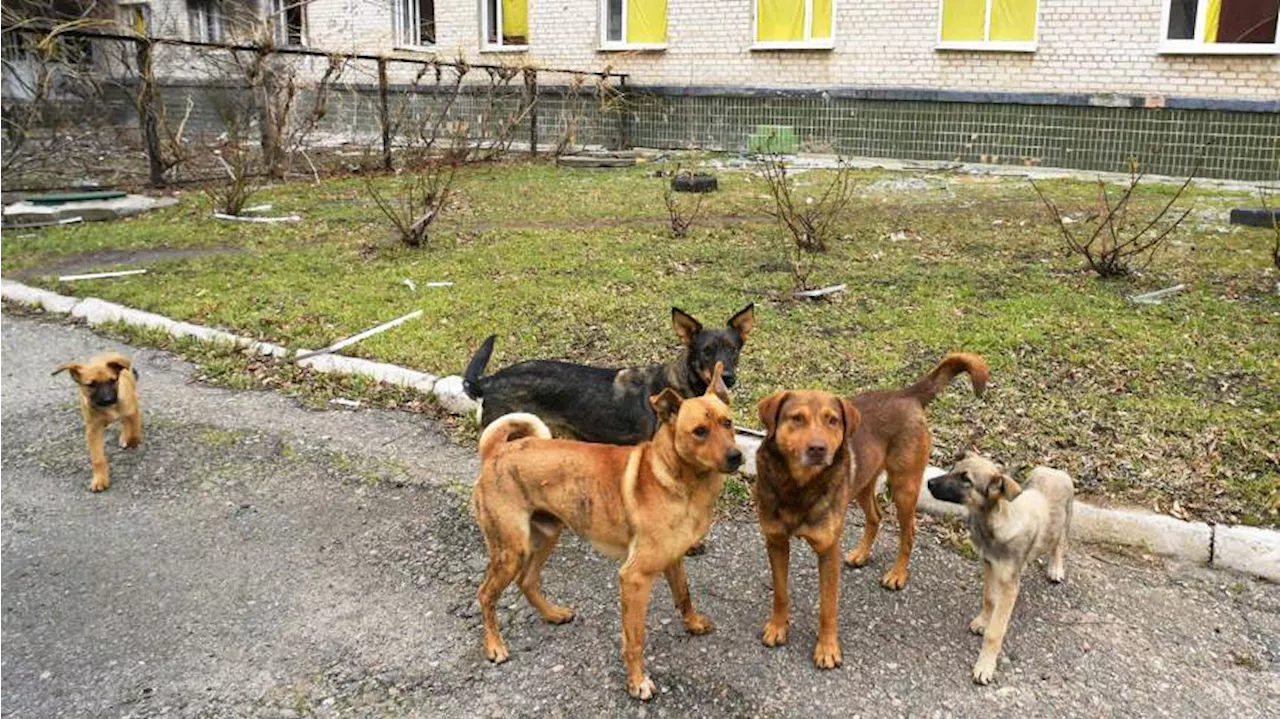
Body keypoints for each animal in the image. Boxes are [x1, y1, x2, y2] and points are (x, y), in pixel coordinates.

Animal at [52, 350, 141, 488]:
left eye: (112, 380)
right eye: (91, 384)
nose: (108, 399)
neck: (108, 409)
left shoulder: (132, 411)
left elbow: (135, 431)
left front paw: (132, 441)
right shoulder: (93, 430)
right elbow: (97, 458)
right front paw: (100, 479)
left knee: (127, 422)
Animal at [471, 360, 742, 695]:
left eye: (727, 422)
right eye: (699, 432)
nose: (737, 456)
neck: (677, 479)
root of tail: (496, 451)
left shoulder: (673, 559)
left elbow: (684, 596)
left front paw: (692, 624)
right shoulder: (634, 578)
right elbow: (635, 638)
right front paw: (637, 682)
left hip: (546, 535)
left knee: (528, 581)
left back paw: (553, 614)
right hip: (510, 550)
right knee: (486, 594)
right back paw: (494, 646)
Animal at [839, 350, 988, 585]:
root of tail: (905, 394)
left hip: (904, 488)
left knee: (908, 533)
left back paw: (898, 573)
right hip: (864, 485)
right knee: (875, 517)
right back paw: (862, 554)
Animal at [926, 450, 1075, 680]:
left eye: (966, 480)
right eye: (952, 469)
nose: (929, 483)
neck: (996, 522)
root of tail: (1055, 470)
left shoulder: (1009, 587)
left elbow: (995, 632)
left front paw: (985, 666)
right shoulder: (987, 564)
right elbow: (988, 598)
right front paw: (983, 620)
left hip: (1065, 520)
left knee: (1059, 543)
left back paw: (1056, 568)